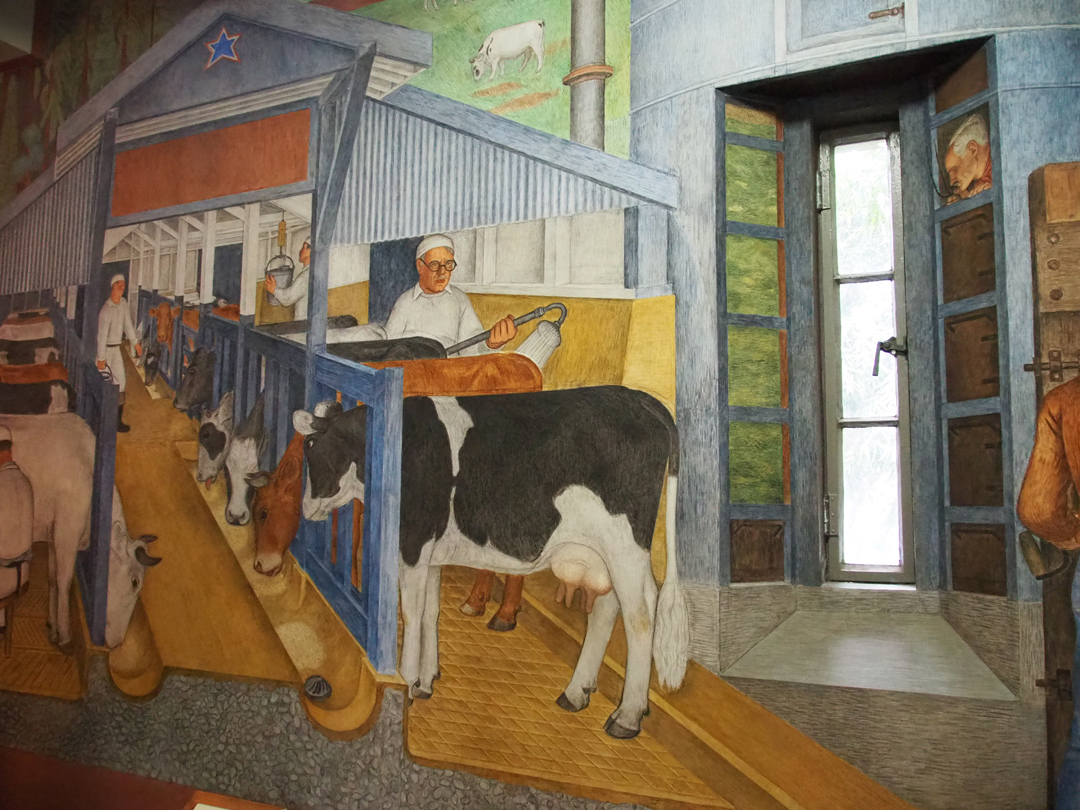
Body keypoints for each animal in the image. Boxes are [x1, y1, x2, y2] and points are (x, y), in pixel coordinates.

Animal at [291, 386, 689, 738]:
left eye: (310, 447)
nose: (305, 508)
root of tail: (640, 398)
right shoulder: (431, 553)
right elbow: (431, 612)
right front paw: (425, 680)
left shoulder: (413, 545)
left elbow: (412, 615)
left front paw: (406, 680)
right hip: (606, 551)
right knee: (613, 606)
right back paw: (577, 693)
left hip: (624, 544)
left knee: (640, 618)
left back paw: (627, 716)